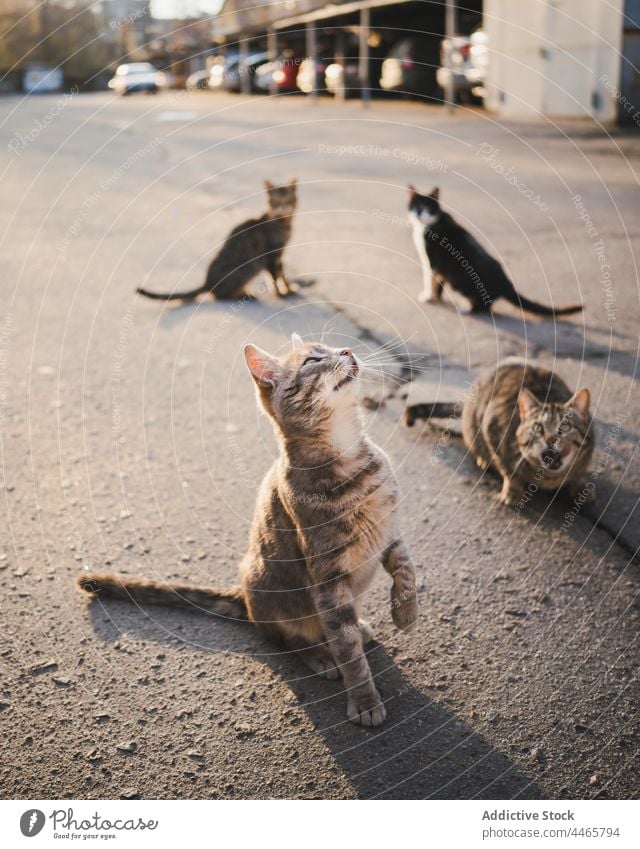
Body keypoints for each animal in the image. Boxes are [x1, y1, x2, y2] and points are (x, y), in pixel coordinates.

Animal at [77, 334, 418, 724]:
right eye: (312, 361)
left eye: (331, 347)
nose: (346, 351)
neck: (348, 454)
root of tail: (245, 596)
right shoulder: (328, 577)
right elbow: (348, 651)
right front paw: (363, 699)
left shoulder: (388, 531)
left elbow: (406, 569)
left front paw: (406, 613)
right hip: (274, 592)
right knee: (292, 638)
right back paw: (320, 654)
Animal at [138, 179, 298, 302]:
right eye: (276, 202)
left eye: (289, 200)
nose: (284, 207)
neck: (284, 224)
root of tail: (207, 283)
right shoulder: (271, 256)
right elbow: (275, 278)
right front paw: (281, 294)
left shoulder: (279, 256)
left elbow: (282, 275)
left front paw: (289, 289)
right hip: (245, 271)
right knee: (219, 296)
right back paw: (243, 295)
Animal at [408, 186, 584, 318]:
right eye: (415, 206)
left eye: (427, 207)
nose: (419, 213)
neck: (429, 223)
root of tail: (506, 282)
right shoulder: (440, 267)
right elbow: (437, 283)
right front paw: (435, 297)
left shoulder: (432, 261)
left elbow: (430, 280)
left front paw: (428, 297)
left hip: (461, 281)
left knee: (485, 306)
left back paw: (467, 308)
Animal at [408, 356, 592, 504]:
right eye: (538, 427)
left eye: (564, 426)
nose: (550, 439)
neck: (550, 478)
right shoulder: (492, 427)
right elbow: (509, 471)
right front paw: (513, 490)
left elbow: (578, 474)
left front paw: (580, 487)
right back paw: (483, 459)